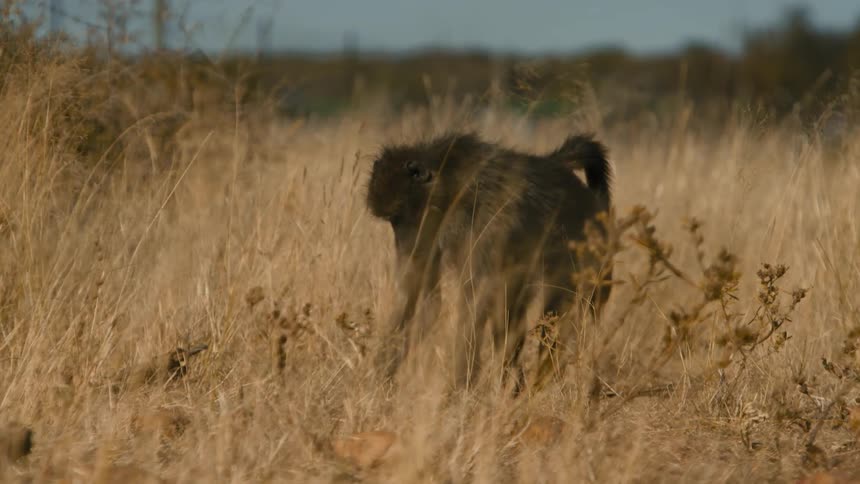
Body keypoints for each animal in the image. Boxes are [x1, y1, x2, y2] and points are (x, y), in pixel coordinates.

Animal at [365, 131, 613, 392]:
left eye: (405, 218)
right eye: (394, 222)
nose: (408, 245)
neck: (452, 188)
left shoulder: (488, 224)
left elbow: (475, 299)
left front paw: (457, 388)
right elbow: (427, 301)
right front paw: (382, 375)